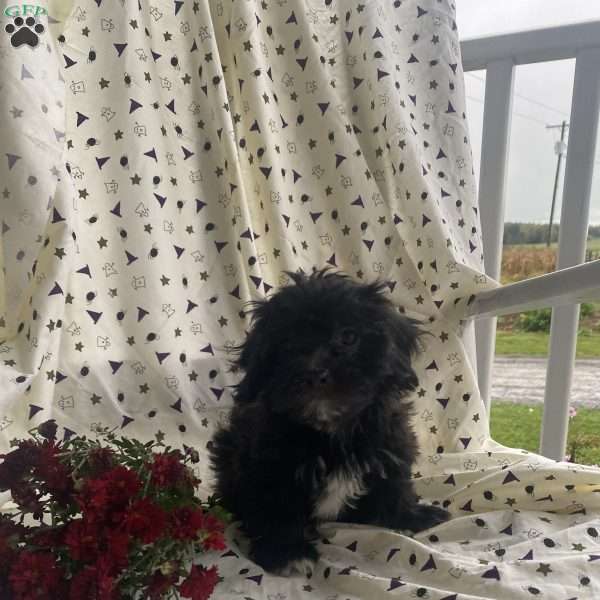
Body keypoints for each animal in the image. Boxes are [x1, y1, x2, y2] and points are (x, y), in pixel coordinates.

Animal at [211, 270, 450, 576]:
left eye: (348, 336)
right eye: (286, 343)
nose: (314, 373)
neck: (330, 432)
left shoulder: (391, 445)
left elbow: (395, 483)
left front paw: (410, 516)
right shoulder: (268, 467)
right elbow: (276, 507)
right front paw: (287, 552)